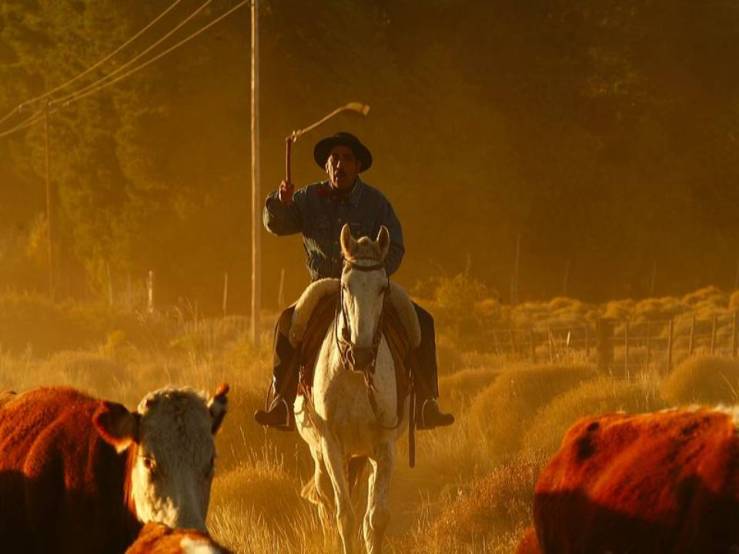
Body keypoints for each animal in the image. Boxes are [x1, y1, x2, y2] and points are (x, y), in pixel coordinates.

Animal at [294, 222, 422, 548]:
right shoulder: (331, 447)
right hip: (319, 451)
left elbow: (375, 519)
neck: (354, 376)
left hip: (364, 455)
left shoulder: (384, 448)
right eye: (345, 286)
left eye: (382, 287)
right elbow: (344, 516)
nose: (361, 354)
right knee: (325, 502)